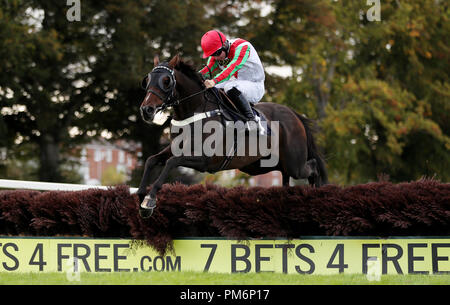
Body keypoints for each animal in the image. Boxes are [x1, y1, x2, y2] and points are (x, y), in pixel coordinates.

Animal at [137, 54, 326, 216]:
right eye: (147, 80)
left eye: (166, 81)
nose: (147, 110)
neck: (195, 110)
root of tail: (294, 114)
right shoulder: (176, 148)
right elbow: (151, 160)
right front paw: (140, 195)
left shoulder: (204, 159)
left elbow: (171, 162)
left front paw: (150, 199)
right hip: (261, 165)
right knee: (287, 175)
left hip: (295, 164)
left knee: (314, 167)